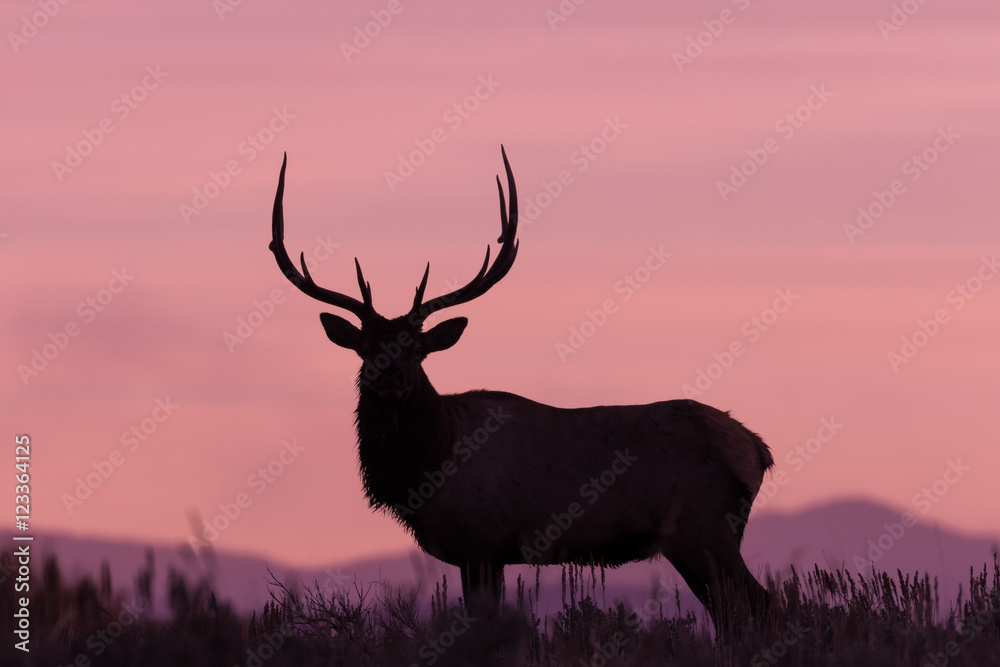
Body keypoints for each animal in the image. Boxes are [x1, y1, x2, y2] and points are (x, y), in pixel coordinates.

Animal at [268, 147, 775, 632]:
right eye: (366, 349)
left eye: (417, 350)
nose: (391, 380)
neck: (429, 463)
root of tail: (758, 449)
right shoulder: (485, 553)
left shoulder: (480, 540)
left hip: (704, 528)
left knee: (757, 604)